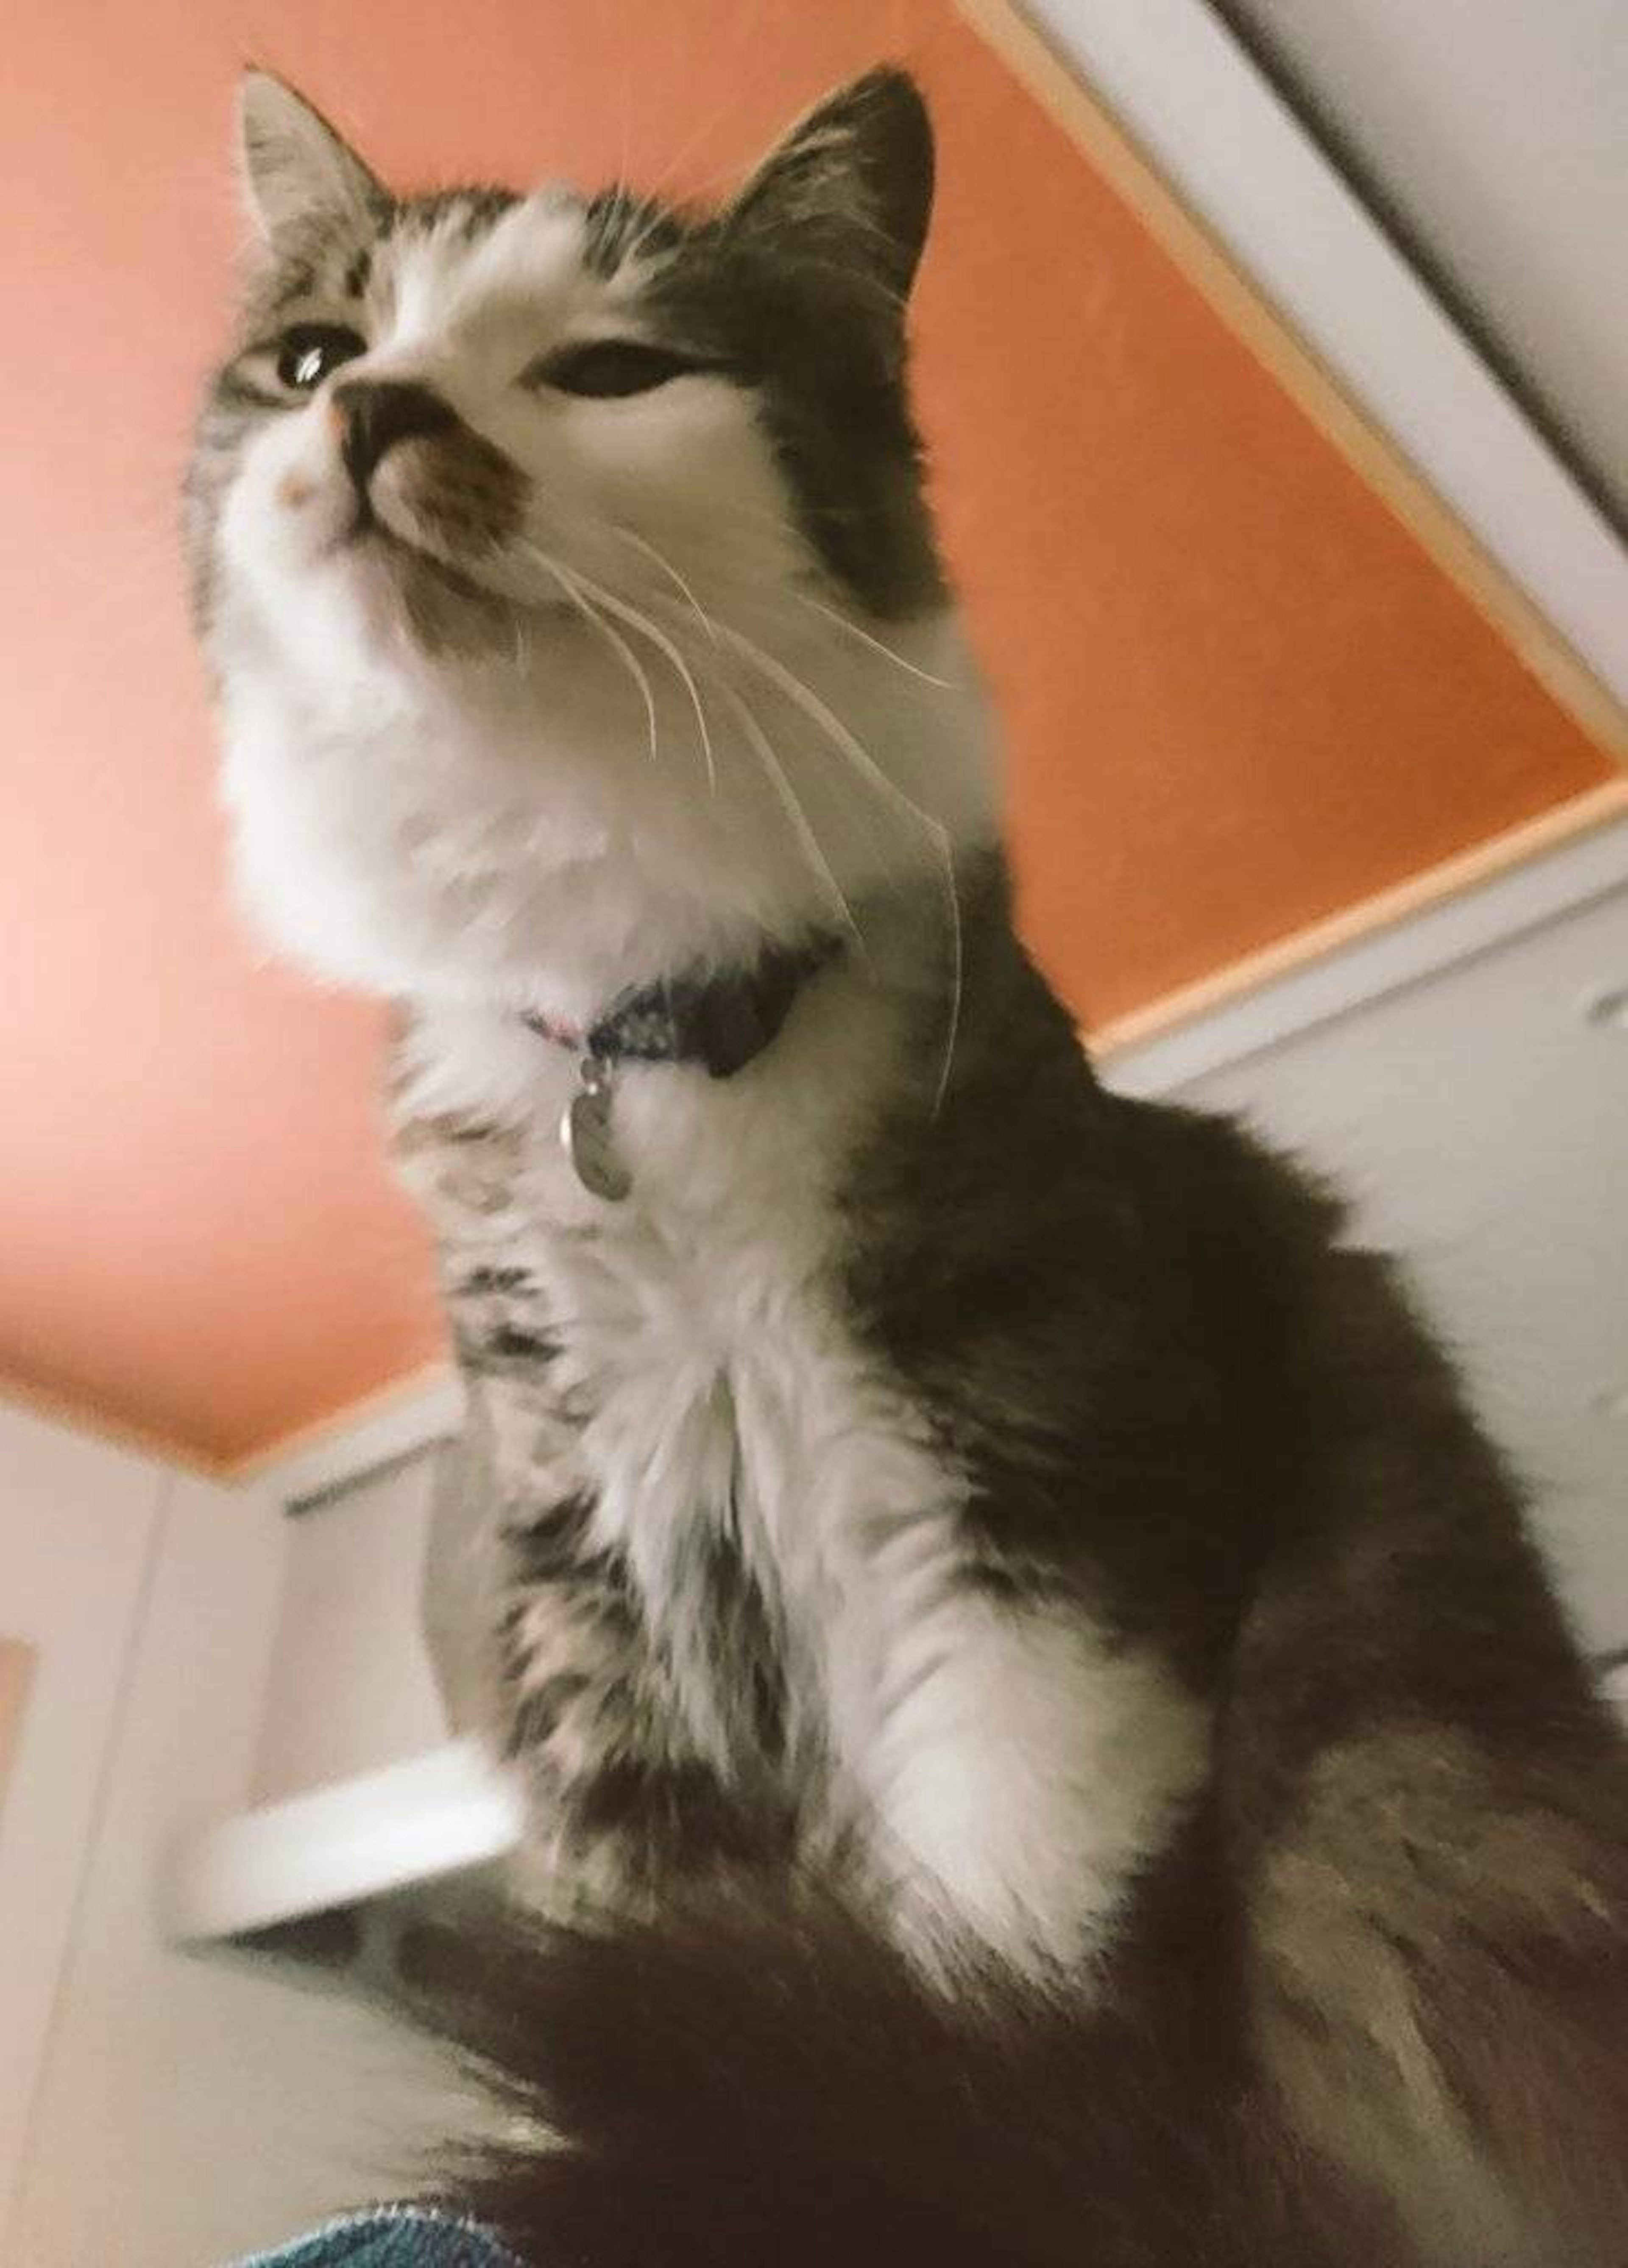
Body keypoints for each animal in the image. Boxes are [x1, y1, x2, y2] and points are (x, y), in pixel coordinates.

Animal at [184, 62, 1628, 2259]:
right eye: (317, 357)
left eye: (613, 370)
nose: (375, 415)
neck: (636, 1009)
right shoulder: (597, 1598)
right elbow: (676, 1950)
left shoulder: (1033, 1547)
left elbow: (1017, 1978)